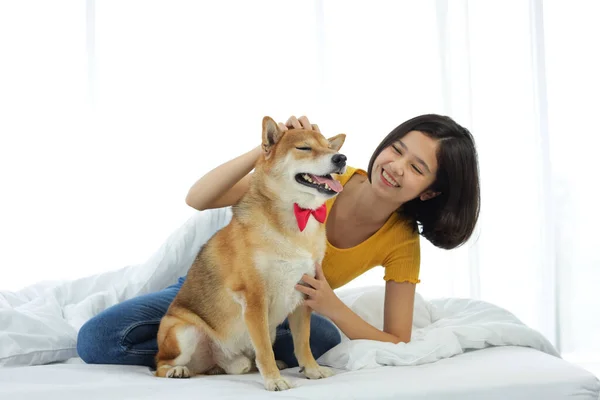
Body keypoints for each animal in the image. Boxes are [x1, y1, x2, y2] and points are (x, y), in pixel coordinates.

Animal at [155, 115, 346, 390]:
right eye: (304, 148)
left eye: (330, 148)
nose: (341, 158)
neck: (295, 220)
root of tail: (217, 359)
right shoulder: (255, 297)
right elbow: (264, 349)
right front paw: (274, 381)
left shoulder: (304, 292)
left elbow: (303, 343)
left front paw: (312, 370)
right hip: (183, 332)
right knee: (158, 365)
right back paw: (177, 370)